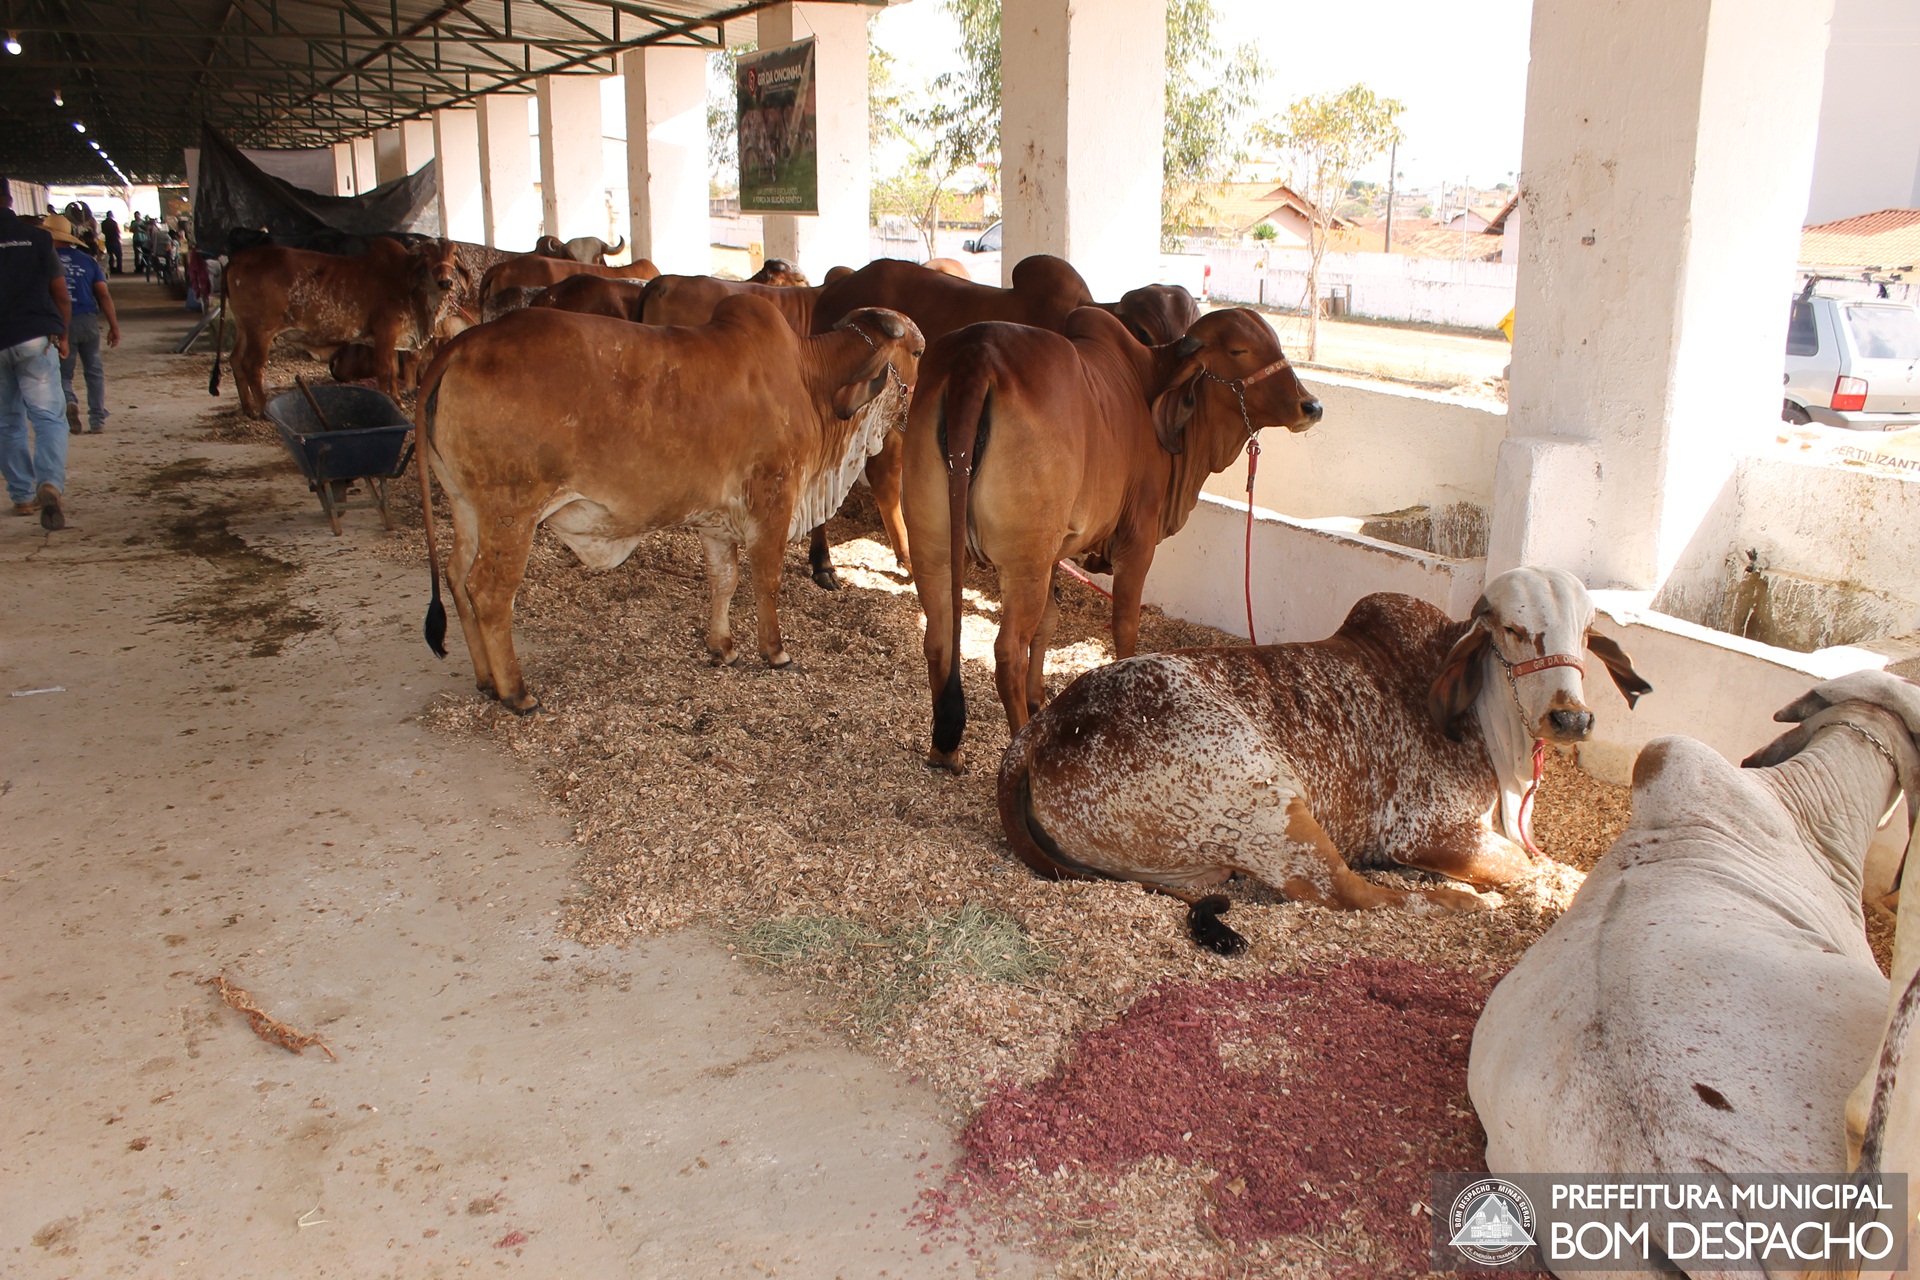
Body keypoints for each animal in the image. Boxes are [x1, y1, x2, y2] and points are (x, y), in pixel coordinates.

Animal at [219, 237, 464, 417]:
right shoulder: (385, 333)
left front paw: (397, 400)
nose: (445, 282)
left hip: (244, 328)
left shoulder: (392, 339)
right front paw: (392, 403)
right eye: (427, 255)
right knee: (252, 365)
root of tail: (236, 259)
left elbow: (394, 371)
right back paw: (264, 410)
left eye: (452, 254)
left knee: (235, 360)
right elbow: (385, 371)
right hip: (261, 331)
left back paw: (248, 408)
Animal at [415, 297, 923, 713]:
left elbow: (724, 580)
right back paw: (517, 693)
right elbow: (767, 581)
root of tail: (463, 344)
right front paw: (775, 652)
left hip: (466, 506)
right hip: (512, 513)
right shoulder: (773, 502)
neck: (809, 379)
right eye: (918, 352)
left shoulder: (717, 521)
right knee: (489, 592)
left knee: (457, 577)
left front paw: (723, 647)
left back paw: (486, 680)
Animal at [902, 306, 1321, 772]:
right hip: (1021, 562)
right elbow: (1125, 626)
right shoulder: (1136, 540)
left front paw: (1038, 699)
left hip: (935, 548)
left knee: (939, 639)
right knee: (1007, 653)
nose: (1311, 405)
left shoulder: (1053, 555)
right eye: (1238, 350)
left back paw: (945, 749)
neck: (1150, 381)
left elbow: (1049, 623)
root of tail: (976, 356)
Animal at [996, 568, 1652, 951]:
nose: (1571, 718)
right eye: (1514, 631)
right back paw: (1462, 903)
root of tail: (1044, 725)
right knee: (1350, 893)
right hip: (1268, 800)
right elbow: (1543, 871)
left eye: (1586, 632)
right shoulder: (1425, 829)